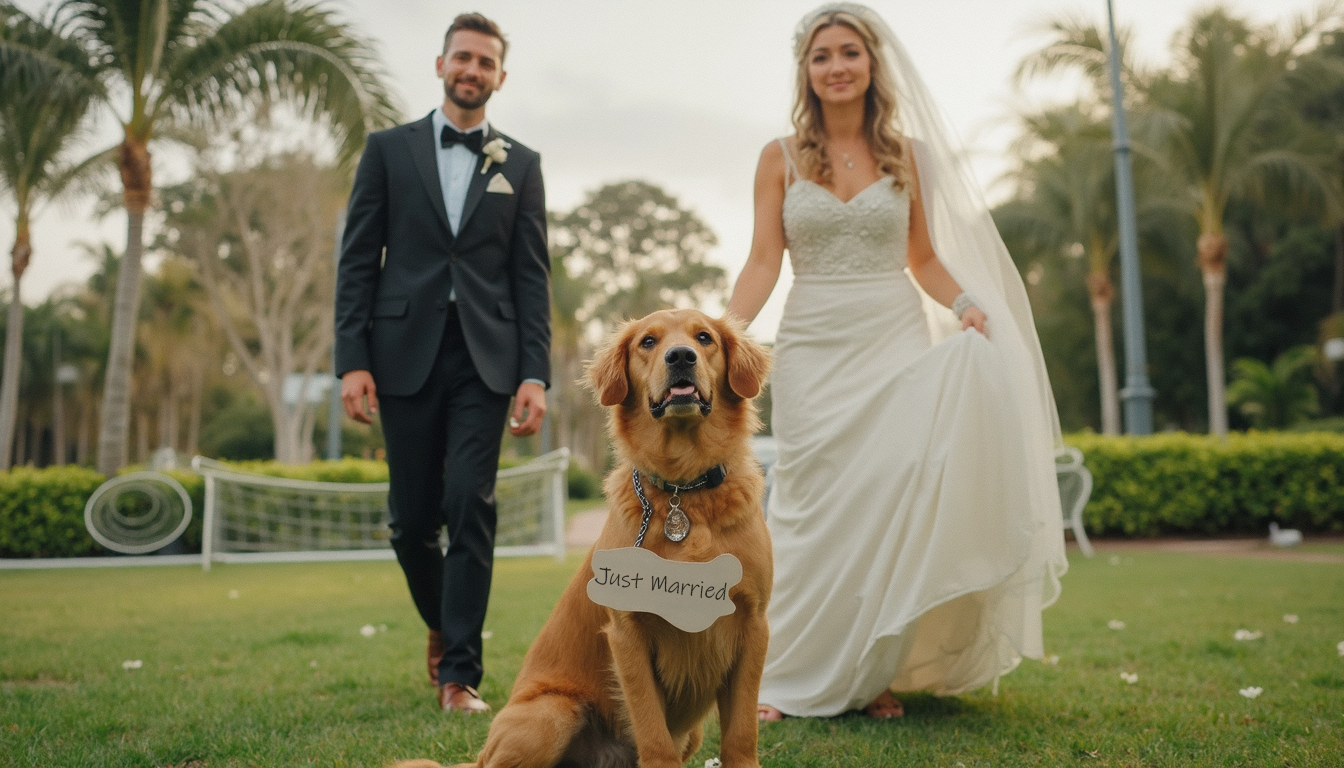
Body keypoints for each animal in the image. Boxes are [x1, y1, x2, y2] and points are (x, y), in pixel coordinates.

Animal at [395, 309, 768, 768]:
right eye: (648, 342)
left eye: (704, 337)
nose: (681, 356)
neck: (685, 490)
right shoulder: (627, 633)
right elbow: (652, 728)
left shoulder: (753, 623)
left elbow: (742, 731)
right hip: (552, 713)